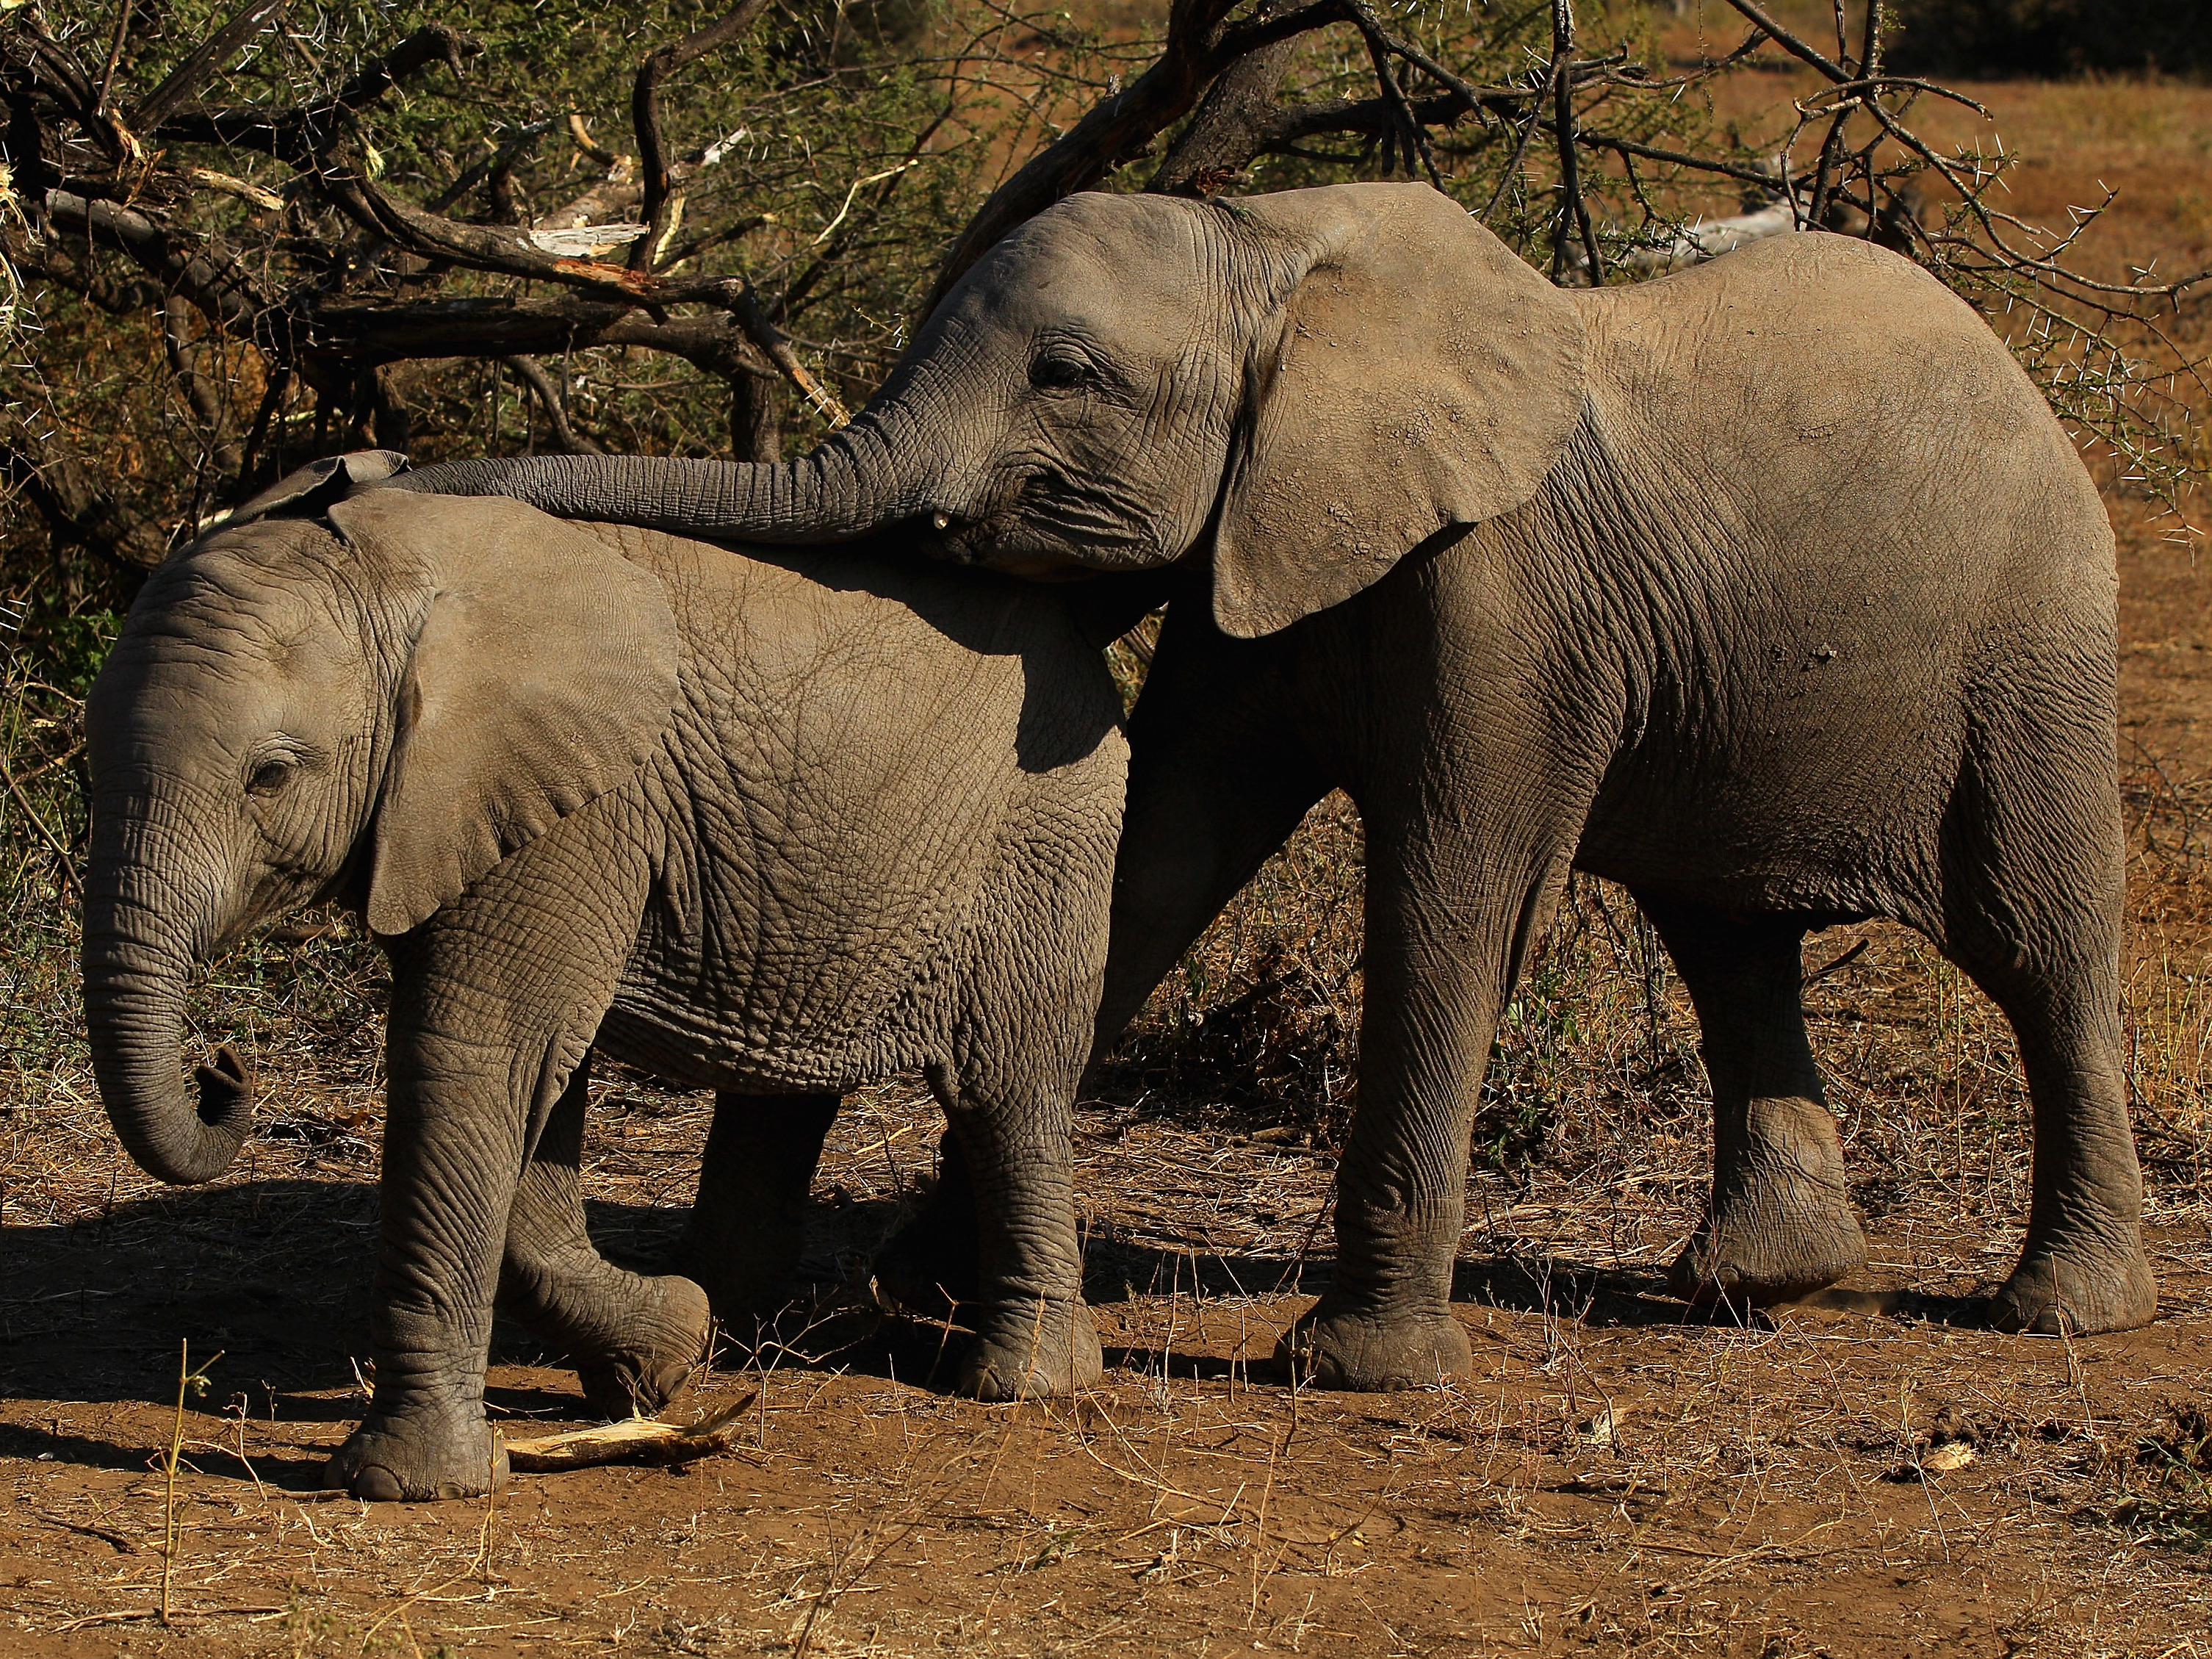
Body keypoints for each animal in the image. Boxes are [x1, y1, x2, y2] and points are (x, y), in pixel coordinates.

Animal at [82, 478, 1126, 1500]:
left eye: (269, 775)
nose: (221, 1068)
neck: (405, 572)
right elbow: (532, 1088)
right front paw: (661, 1355)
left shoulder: (564, 803)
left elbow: (468, 1056)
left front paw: (410, 1484)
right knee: (790, 1088)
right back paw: (738, 1330)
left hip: (1044, 839)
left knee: (1008, 1091)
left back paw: (1025, 1379)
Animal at [381, 180, 2153, 1386]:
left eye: (1068, 376)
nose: (366, 471)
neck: (1276, 255)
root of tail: (2011, 362)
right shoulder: (1265, 540)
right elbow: (1166, 846)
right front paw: (925, 1280)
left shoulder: (1502, 584)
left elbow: (1450, 891)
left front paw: (1354, 1367)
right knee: (1727, 934)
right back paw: (1753, 1285)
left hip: (2036, 637)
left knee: (2035, 939)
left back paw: (2057, 1307)